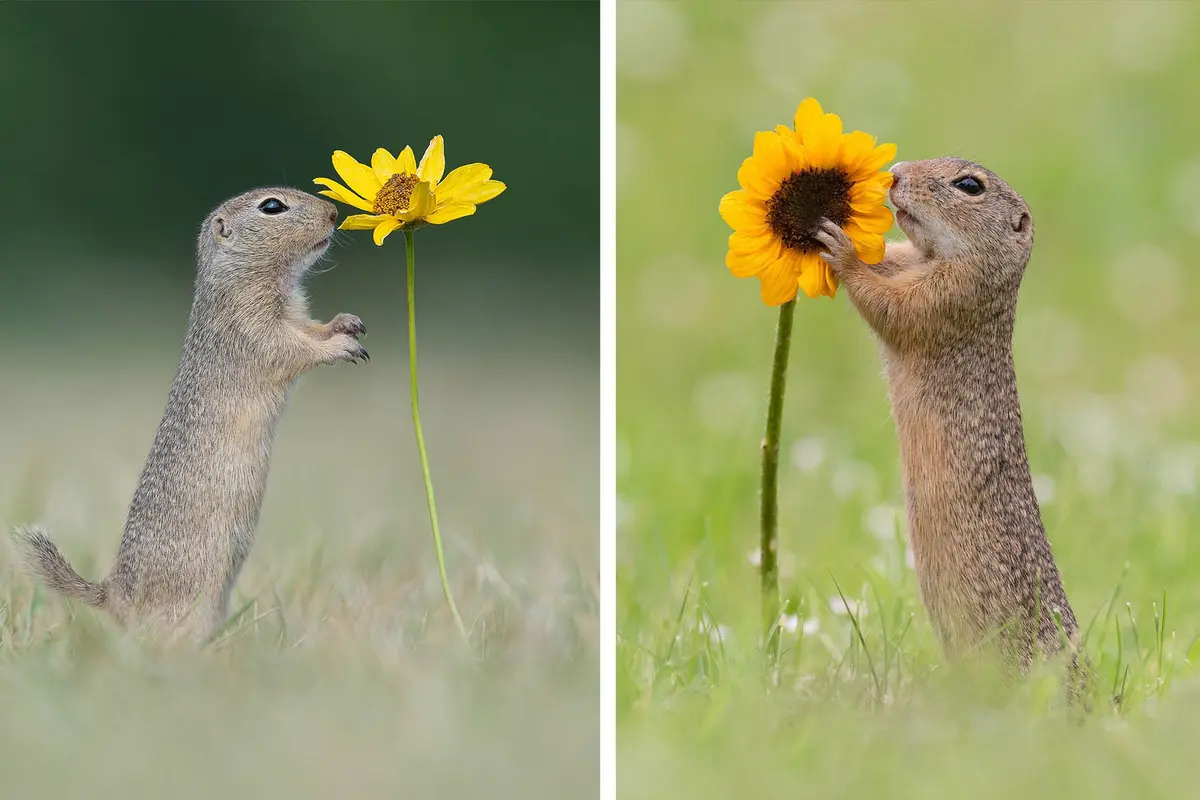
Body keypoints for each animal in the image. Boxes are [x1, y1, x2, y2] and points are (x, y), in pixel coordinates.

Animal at [13, 187, 368, 643]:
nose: (334, 212)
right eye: (272, 207)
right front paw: (339, 346)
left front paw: (346, 323)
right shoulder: (254, 327)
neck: (247, 279)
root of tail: (113, 595)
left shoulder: (295, 314)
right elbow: (294, 349)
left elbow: (312, 328)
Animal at [815, 158, 1085, 685]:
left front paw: (843, 248)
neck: (932, 258)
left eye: (970, 185)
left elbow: (891, 306)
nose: (895, 173)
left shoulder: (946, 298)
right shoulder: (907, 262)